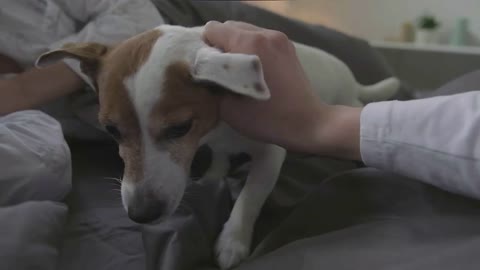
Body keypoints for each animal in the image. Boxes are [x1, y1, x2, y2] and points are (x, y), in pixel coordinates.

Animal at [35, 24, 400, 268]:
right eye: (111, 130)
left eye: (179, 128)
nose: (141, 214)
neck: (221, 128)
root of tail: (350, 76)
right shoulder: (218, 145)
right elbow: (219, 163)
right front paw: (211, 179)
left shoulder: (271, 153)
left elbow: (251, 196)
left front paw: (232, 240)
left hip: (347, 101)